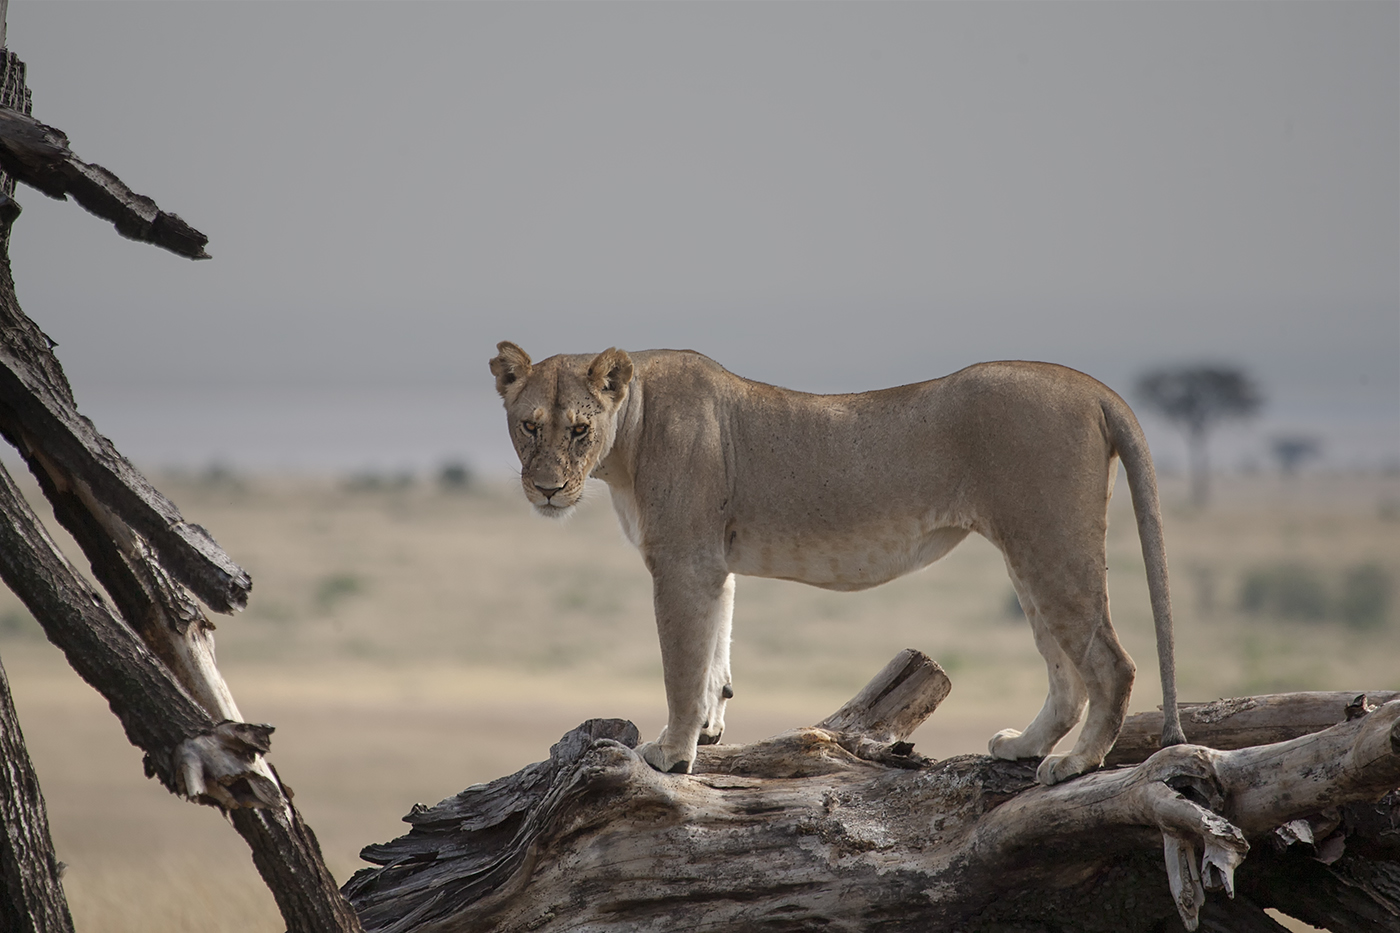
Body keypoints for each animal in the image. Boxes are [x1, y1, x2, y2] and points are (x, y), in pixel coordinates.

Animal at [489, 342, 1186, 785]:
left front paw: (673, 753)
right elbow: (716, 650)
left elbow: (681, 665)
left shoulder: (682, 561)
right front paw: (710, 729)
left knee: (1111, 662)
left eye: (580, 429)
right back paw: (1025, 746)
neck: (628, 436)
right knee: (1066, 674)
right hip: (1030, 550)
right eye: (529, 425)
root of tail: (1092, 387)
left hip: (1050, 542)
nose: (547, 490)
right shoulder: (712, 564)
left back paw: (1075, 764)